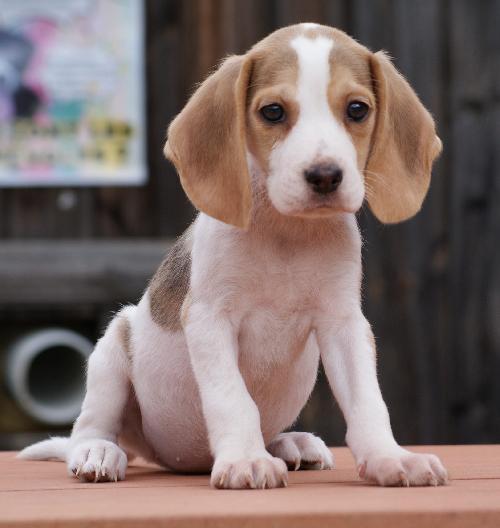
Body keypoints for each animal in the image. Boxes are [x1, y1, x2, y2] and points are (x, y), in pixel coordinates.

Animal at [20, 23, 447, 489]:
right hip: (114, 346)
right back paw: (97, 451)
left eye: (356, 109)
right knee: (90, 427)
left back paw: (290, 443)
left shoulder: (344, 323)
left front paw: (390, 458)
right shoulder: (210, 318)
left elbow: (369, 402)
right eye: (273, 112)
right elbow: (233, 399)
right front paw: (246, 459)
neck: (287, 234)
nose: (325, 176)